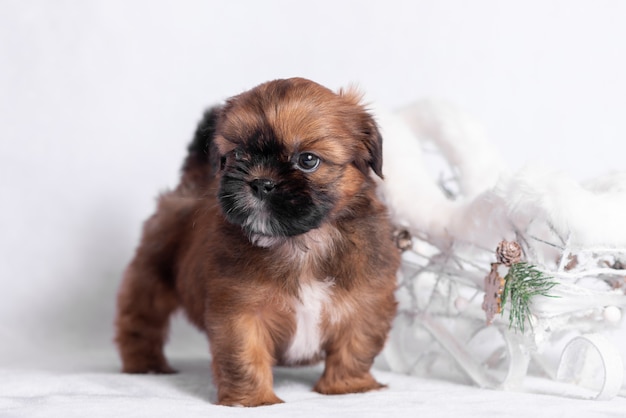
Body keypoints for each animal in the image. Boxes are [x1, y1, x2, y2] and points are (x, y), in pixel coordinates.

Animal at [116, 76, 400, 406]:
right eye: (239, 154)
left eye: (308, 160)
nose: (261, 183)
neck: (300, 243)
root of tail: (190, 184)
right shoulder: (240, 312)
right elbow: (243, 357)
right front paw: (253, 400)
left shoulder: (365, 302)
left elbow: (355, 347)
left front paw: (348, 387)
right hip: (151, 276)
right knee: (140, 321)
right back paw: (145, 365)